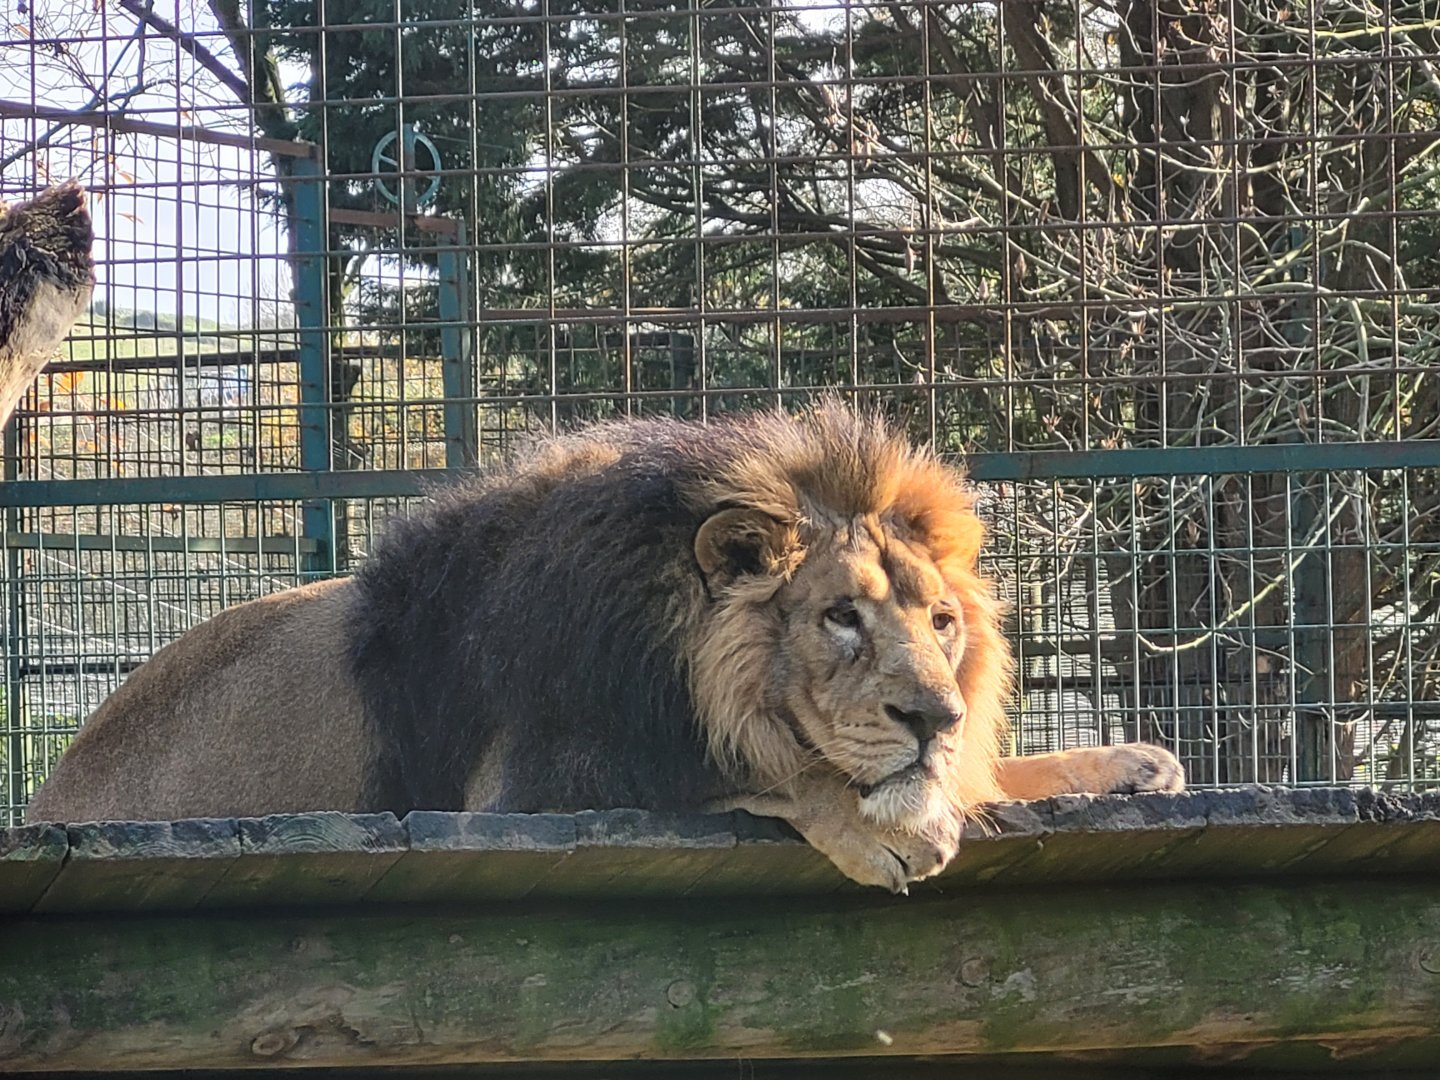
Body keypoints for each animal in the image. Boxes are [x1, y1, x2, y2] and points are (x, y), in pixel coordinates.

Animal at [26, 403, 1183, 891]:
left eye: (942, 622)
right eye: (840, 618)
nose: (936, 715)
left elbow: (985, 774)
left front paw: (1132, 764)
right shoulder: (525, 792)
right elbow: (750, 771)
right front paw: (882, 825)